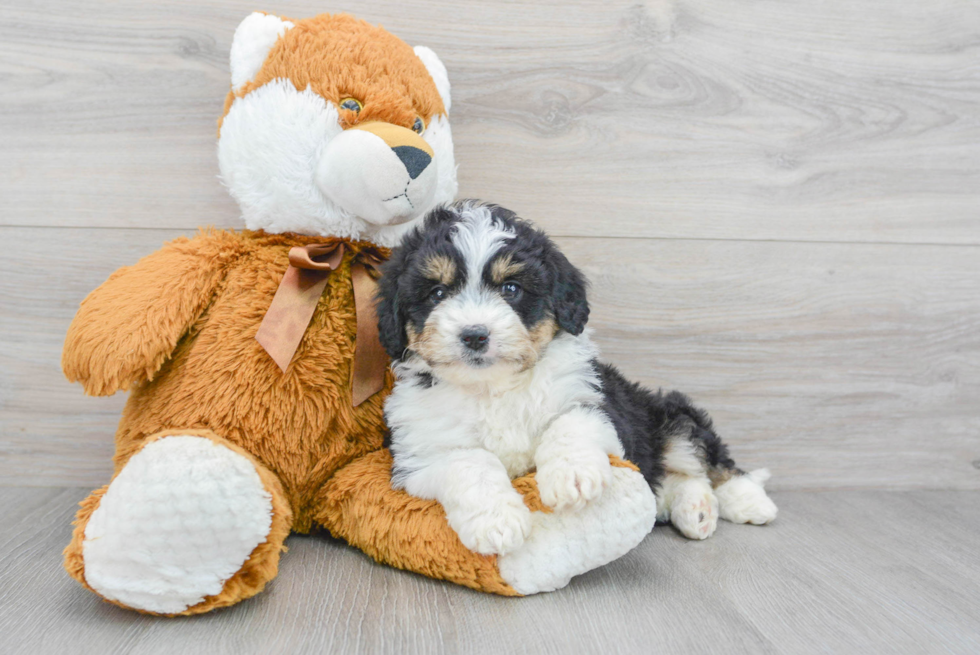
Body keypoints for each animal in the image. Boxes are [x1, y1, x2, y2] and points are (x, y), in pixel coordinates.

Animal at [378, 202, 780, 556]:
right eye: (437, 293)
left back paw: (748, 502)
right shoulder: (422, 454)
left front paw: (572, 476)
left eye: (511, 289)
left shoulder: (596, 404)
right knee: (673, 482)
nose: (475, 335)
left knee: (711, 463)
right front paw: (497, 523)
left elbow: (569, 424)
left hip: (671, 414)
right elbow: (470, 464)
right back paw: (694, 509)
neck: (494, 388)